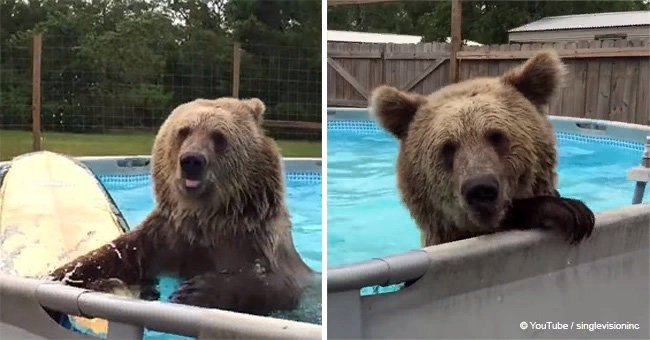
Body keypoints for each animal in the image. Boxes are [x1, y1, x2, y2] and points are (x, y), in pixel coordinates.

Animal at [49, 96, 312, 316]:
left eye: (219, 136)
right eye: (184, 131)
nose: (192, 160)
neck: (206, 219)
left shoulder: (253, 241)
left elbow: (274, 284)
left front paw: (195, 290)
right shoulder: (165, 239)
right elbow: (113, 257)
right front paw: (61, 275)